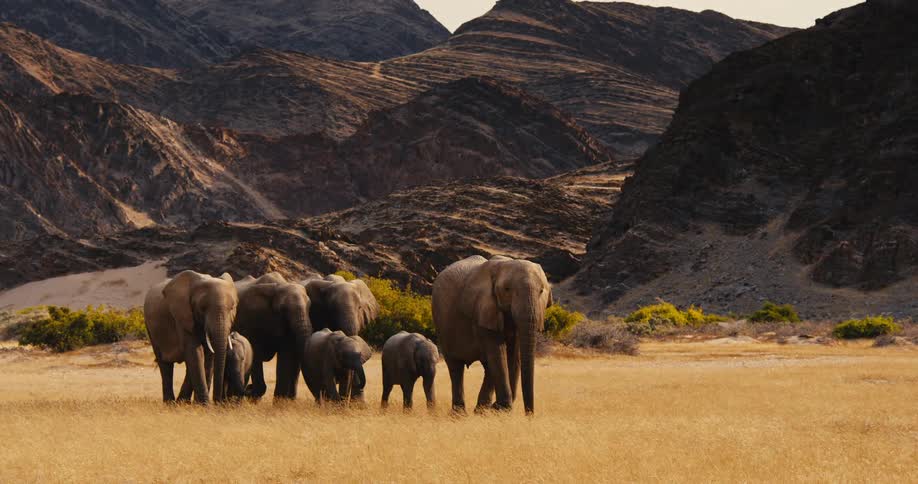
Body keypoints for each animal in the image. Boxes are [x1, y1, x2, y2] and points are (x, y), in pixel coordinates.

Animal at [144, 270, 238, 404]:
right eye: (202, 308)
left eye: (232, 308)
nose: (218, 402)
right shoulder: (182, 316)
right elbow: (195, 352)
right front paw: (205, 405)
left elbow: (208, 354)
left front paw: (197, 404)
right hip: (150, 327)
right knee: (165, 364)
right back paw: (171, 403)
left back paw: (181, 401)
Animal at [432, 255, 552, 415]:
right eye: (507, 289)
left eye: (541, 291)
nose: (529, 416)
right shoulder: (483, 309)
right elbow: (498, 352)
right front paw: (501, 409)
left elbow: (513, 354)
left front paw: (496, 409)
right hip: (443, 326)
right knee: (456, 366)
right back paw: (460, 414)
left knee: (488, 366)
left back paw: (481, 410)